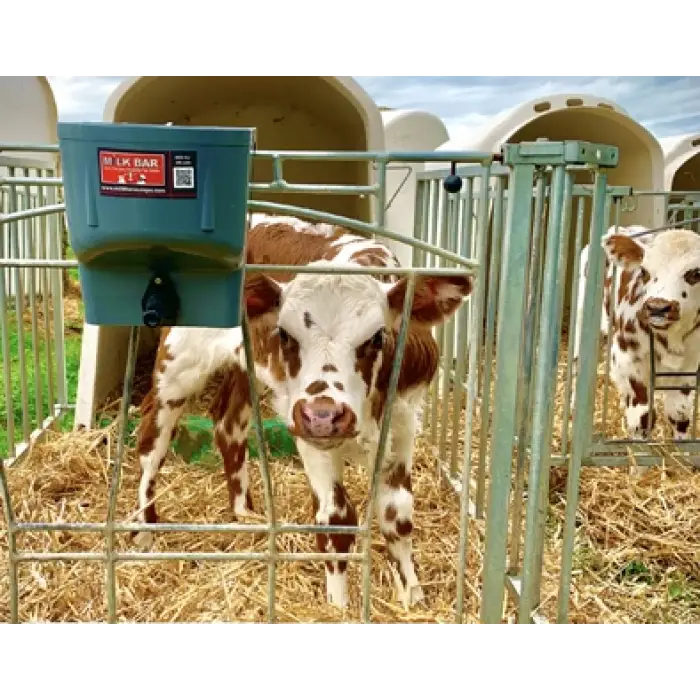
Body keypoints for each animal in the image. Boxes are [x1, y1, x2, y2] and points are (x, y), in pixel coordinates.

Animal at [132, 213, 474, 609]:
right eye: (285, 335)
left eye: (377, 337)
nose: (324, 416)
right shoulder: (309, 433)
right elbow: (335, 520)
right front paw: (338, 607)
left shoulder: (403, 423)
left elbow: (397, 514)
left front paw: (413, 597)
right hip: (179, 361)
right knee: (151, 439)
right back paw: (143, 530)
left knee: (228, 424)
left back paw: (244, 513)